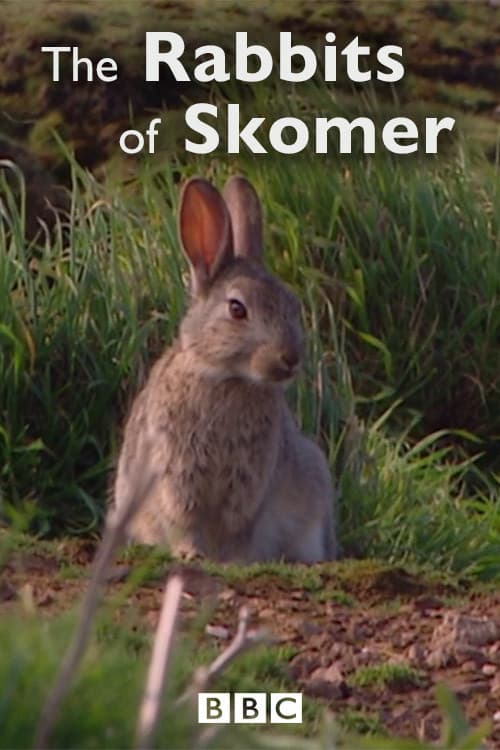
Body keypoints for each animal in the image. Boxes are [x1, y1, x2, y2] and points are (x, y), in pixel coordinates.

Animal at [112, 175, 337, 563]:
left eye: (293, 305)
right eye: (236, 309)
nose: (290, 357)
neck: (228, 379)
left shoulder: (248, 484)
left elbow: (237, 528)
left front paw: (232, 561)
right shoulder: (176, 472)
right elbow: (185, 519)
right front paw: (191, 554)